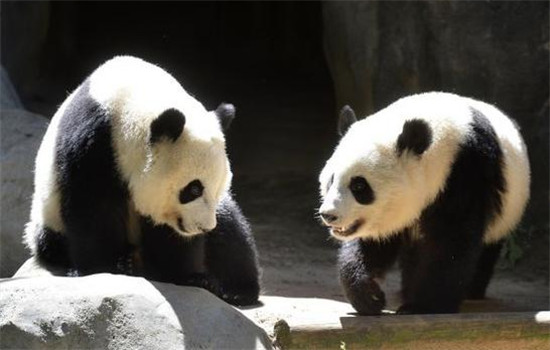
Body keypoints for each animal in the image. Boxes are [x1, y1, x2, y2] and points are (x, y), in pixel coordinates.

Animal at [23, 55, 260, 306]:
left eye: (218, 188)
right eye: (194, 189)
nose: (203, 227)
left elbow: (172, 235)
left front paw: (188, 277)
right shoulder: (91, 143)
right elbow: (91, 206)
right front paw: (103, 267)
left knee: (230, 229)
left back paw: (236, 290)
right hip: (47, 222)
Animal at [322, 91, 532, 314]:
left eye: (359, 186)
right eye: (331, 180)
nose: (329, 215)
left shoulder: (466, 175)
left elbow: (451, 242)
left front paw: (423, 305)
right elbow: (372, 244)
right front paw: (369, 296)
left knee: (486, 248)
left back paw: (470, 290)